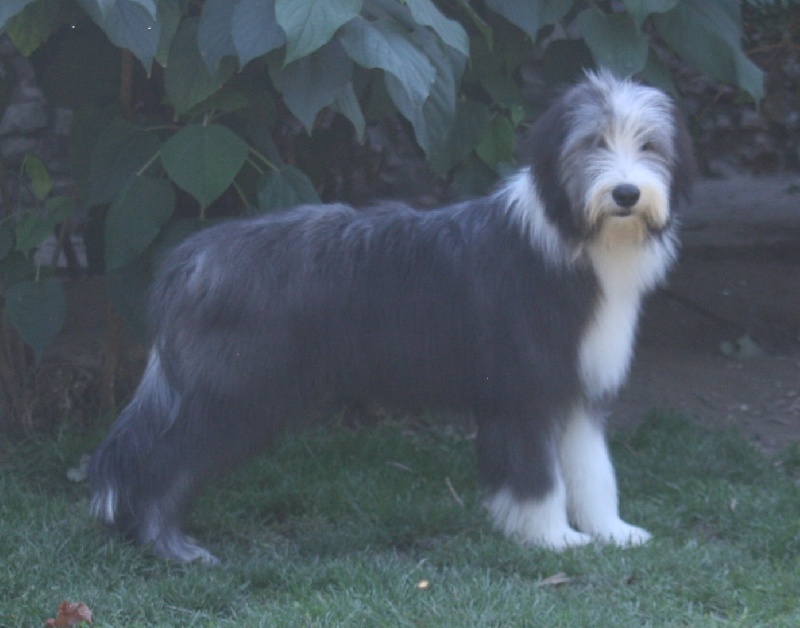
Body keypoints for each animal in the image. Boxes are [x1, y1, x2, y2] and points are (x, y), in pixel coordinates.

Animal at [89, 71, 692, 560]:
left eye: (649, 145)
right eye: (592, 143)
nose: (626, 193)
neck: (570, 238)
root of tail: (190, 260)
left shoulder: (577, 388)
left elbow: (594, 471)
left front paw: (612, 532)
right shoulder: (523, 389)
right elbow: (537, 478)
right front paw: (552, 539)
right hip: (232, 392)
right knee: (157, 461)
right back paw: (167, 544)